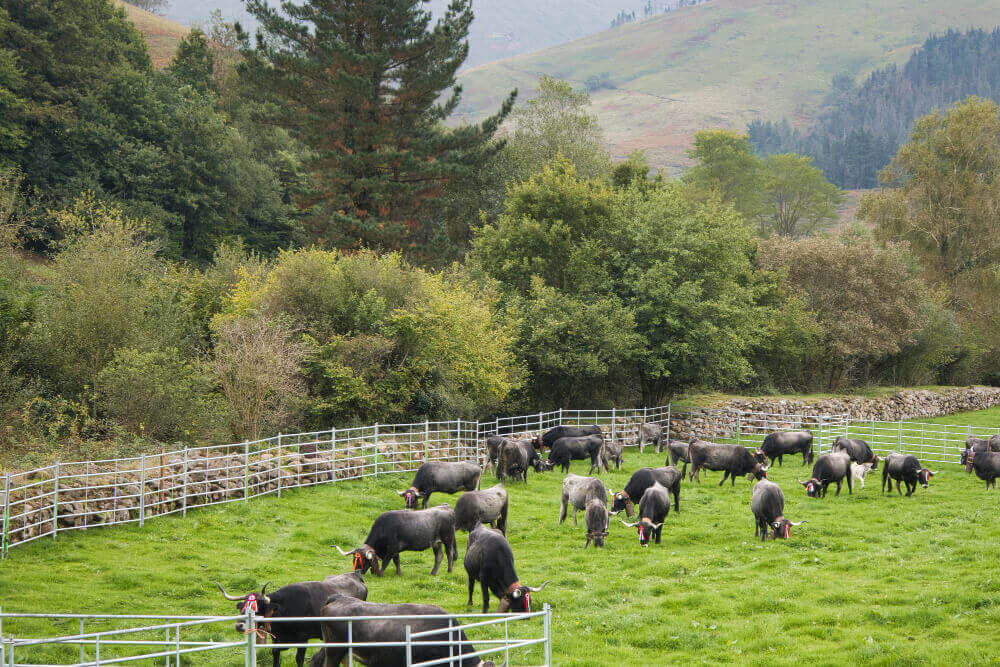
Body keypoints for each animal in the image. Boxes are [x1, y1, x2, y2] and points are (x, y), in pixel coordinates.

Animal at [215, 568, 368, 667]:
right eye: (242, 608)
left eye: (256, 608)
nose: (239, 625)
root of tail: (355, 575)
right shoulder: (276, 640)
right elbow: (275, 655)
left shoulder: (303, 639)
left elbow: (299, 659)